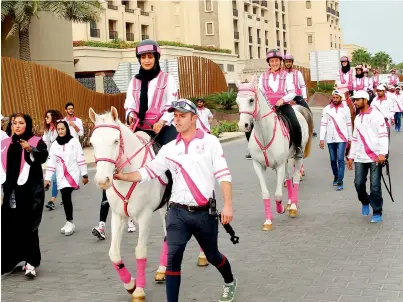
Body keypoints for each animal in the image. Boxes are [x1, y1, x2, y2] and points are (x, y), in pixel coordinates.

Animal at [89, 107, 207, 300]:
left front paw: (138, 290)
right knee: (167, 235)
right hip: (165, 206)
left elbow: (140, 251)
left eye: (115, 141)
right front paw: (130, 284)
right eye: (92, 143)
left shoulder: (144, 217)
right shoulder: (118, 217)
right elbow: (114, 253)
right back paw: (162, 270)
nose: (102, 180)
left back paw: (203, 257)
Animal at [237, 74, 316, 230]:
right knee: (288, 178)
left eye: (251, 100)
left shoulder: (279, 165)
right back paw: (290, 203)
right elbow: (266, 193)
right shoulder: (258, 166)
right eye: (237, 101)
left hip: (297, 156)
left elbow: (278, 195)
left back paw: (293, 207)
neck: (264, 135)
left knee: (295, 178)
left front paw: (281, 209)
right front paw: (268, 221)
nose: (243, 125)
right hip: (286, 160)